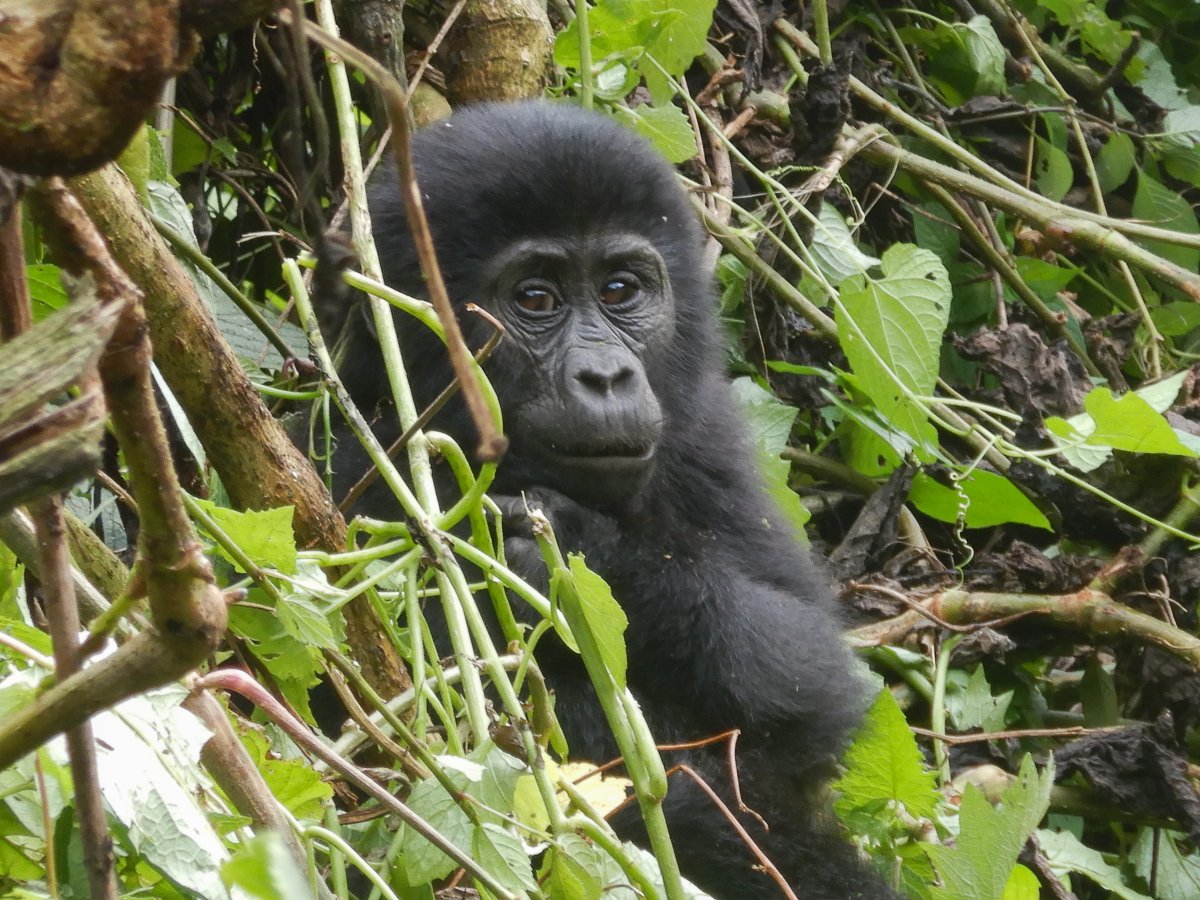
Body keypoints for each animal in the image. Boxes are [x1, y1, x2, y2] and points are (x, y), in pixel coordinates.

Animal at [328, 103, 892, 900]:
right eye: (536, 299)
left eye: (621, 290)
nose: (606, 377)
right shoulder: (355, 467)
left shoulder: (705, 436)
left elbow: (812, 677)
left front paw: (589, 562)